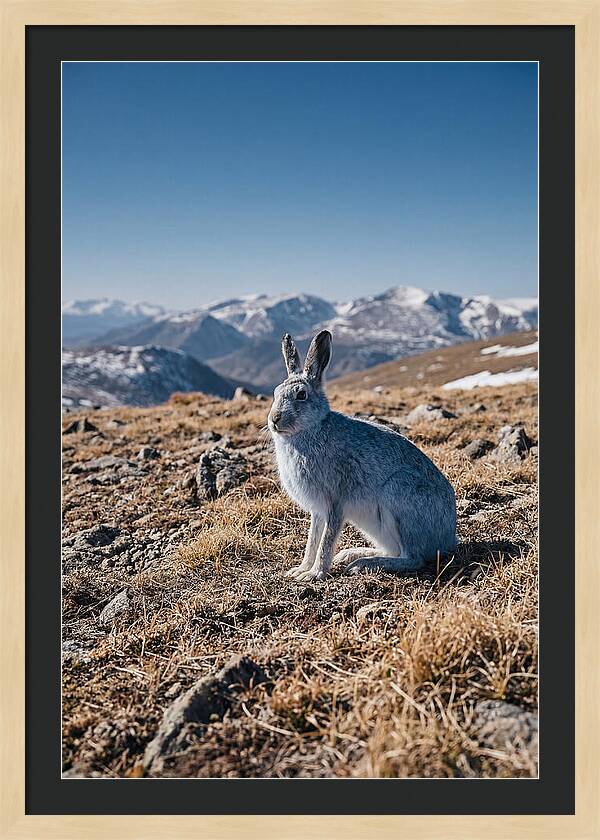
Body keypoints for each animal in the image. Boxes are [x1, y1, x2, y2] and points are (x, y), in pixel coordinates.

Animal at [268, 330, 457, 581]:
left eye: (301, 395)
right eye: (275, 392)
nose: (274, 419)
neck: (311, 429)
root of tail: (448, 539)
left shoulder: (335, 501)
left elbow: (326, 540)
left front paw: (315, 574)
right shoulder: (318, 510)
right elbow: (312, 540)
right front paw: (300, 569)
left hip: (399, 497)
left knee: (412, 558)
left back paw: (364, 564)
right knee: (395, 550)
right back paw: (352, 554)